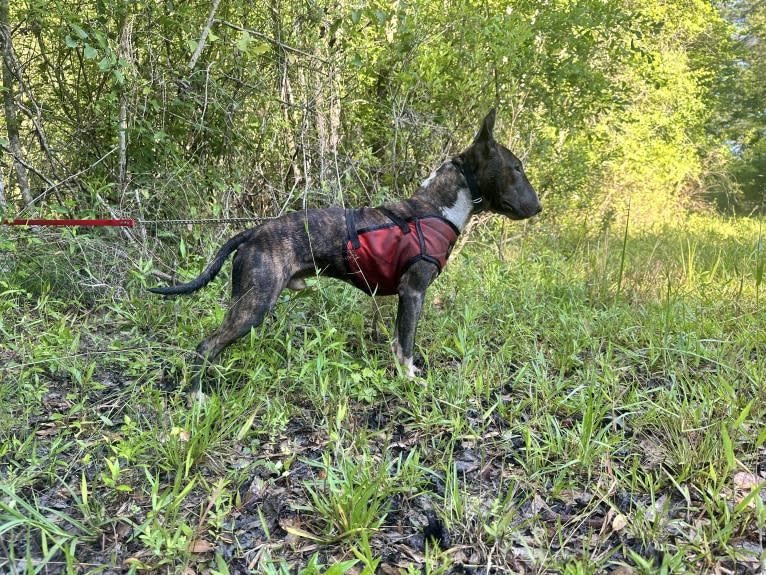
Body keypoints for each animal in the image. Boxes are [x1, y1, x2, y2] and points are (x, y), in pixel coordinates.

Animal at [150, 110, 544, 394]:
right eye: (517, 168)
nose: (539, 206)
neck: (437, 208)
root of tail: (252, 231)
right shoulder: (413, 292)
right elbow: (406, 343)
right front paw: (409, 380)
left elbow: (397, 341)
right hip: (253, 304)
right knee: (206, 345)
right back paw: (197, 394)